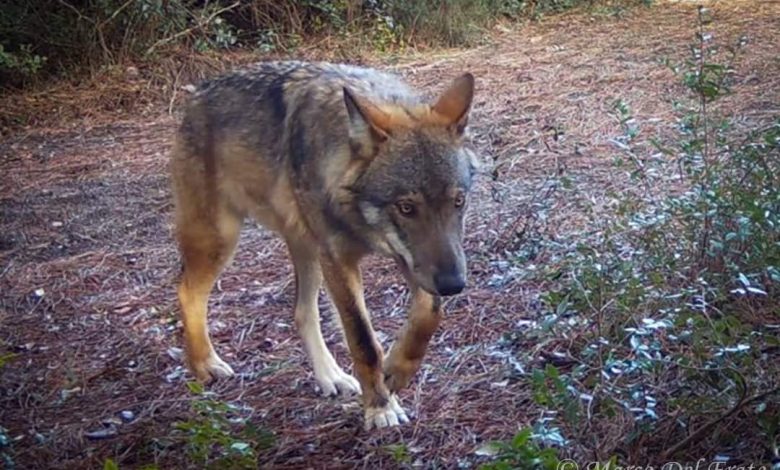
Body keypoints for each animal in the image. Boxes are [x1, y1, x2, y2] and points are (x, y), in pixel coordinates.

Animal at [168, 60, 478, 432]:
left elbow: (429, 314)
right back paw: (204, 363)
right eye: (406, 207)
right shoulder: (339, 258)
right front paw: (380, 407)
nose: (454, 285)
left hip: (306, 249)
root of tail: (198, 91)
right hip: (220, 239)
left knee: (302, 312)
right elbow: (363, 339)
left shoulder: (412, 261)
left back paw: (331, 377)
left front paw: (396, 371)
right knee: (187, 292)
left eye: (458, 201)